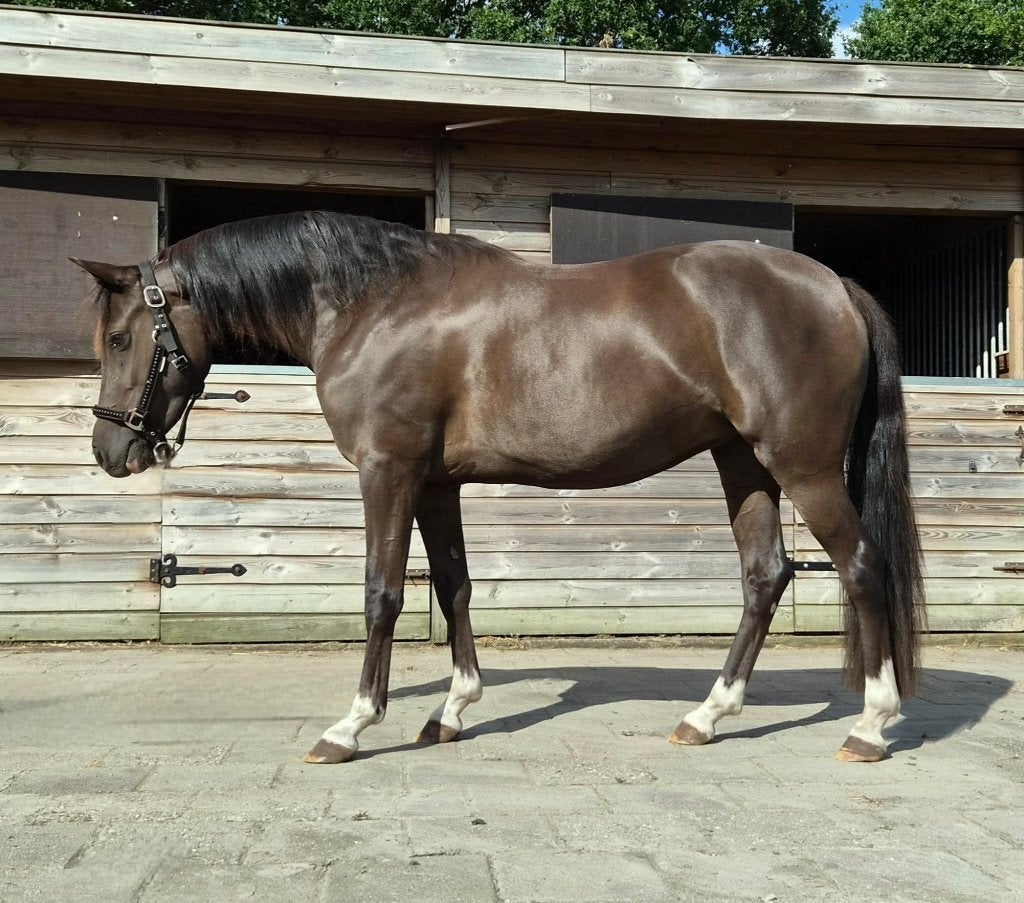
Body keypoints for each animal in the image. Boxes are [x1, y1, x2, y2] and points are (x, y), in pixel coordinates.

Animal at [79, 210, 924, 765]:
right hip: (742, 462)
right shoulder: (434, 483)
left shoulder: (388, 470)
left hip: (800, 466)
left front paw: (352, 725)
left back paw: (870, 724)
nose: (110, 450)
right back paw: (708, 715)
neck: (375, 304)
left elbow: (383, 592)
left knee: (861, 568)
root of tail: (833, 284)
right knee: (764, 576)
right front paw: (452, 710)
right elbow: (453, 584)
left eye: (121, 338)